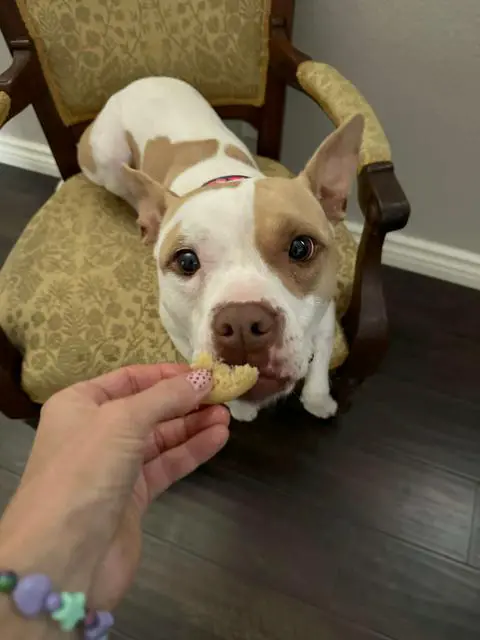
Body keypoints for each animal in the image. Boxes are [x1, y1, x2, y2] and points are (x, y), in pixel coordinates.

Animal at [79, 77, 364, 422]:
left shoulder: (326, 307)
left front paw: (318, 399)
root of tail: (139, 81)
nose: (243, 323)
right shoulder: (175, 325)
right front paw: (240, 407)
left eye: (300, 247)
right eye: (186, 261)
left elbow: (320, 354)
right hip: (105, 160)